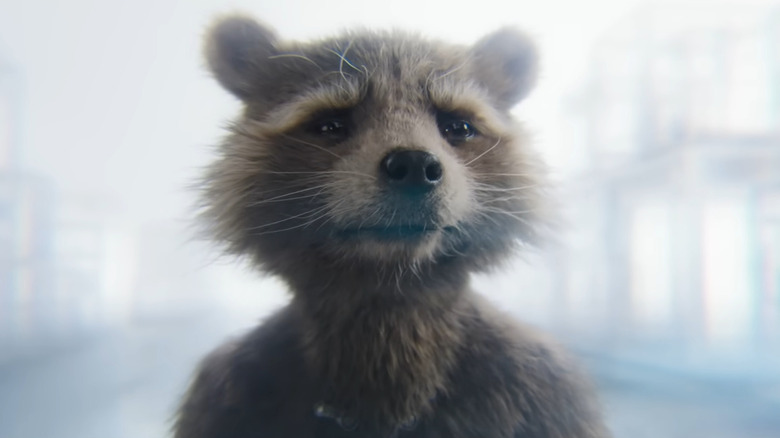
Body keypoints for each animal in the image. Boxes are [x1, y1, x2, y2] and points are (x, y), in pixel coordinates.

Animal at [174, 15, 608, 438]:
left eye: (458, 126)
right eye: (330, 124)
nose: (414, 164)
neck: (389, 290)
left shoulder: (545, 389)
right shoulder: (227, 394)